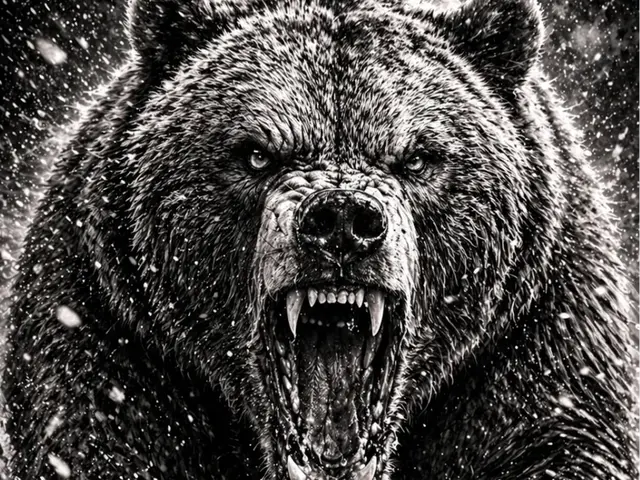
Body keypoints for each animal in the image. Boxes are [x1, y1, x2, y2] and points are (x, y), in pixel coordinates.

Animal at [2, 0, 638, 478]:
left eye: (418, 157)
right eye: (257, 153)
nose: (341, 221)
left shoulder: (540, 346)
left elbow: (554, 433)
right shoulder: (112, 338)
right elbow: (97, 434)